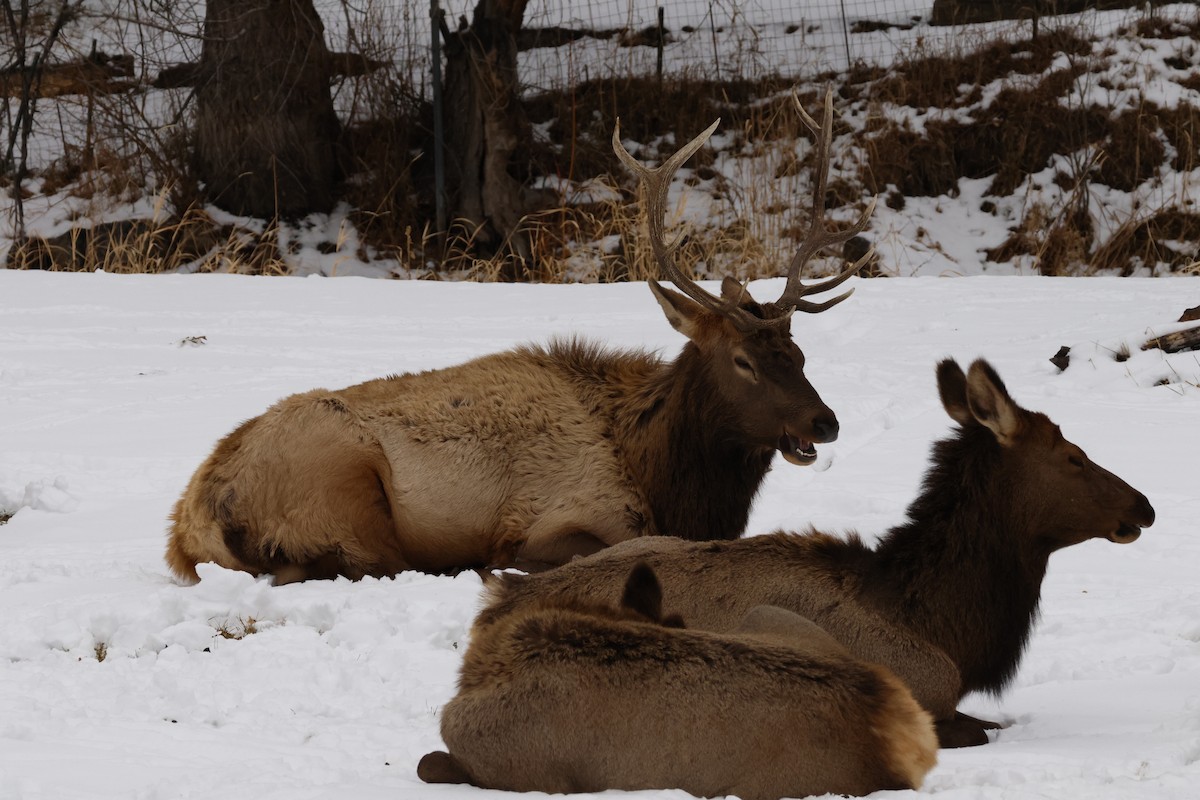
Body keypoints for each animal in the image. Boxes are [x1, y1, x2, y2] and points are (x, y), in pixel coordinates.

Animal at [166, 88, 875, 584]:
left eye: (798, 353)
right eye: (742, 361)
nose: (826, 421)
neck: (661, 474)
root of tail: (190, 520)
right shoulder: (559, 516)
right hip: (346, 487)